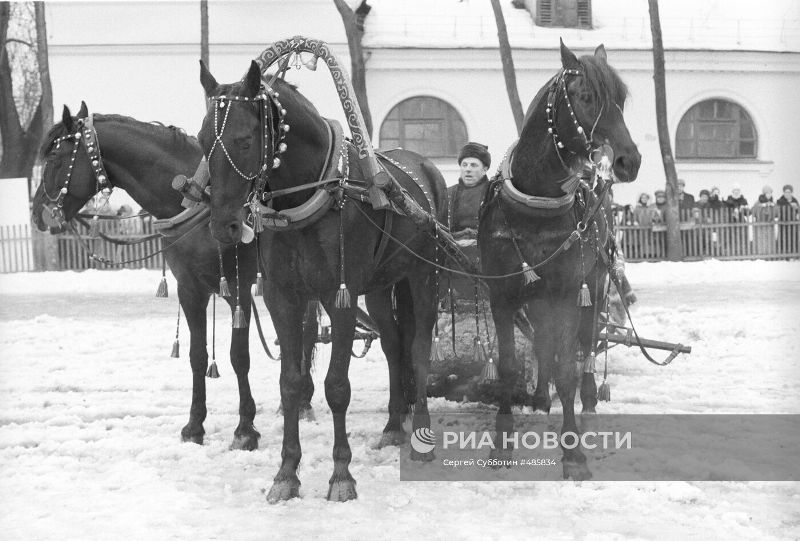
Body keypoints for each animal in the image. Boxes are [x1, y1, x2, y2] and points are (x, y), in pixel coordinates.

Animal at [31, 103, 268, 450]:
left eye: (56, 158)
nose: (37, 213)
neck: (200, 202)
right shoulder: (190, 290)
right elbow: (197, 356)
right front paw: (194, 426)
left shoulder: (239, 289)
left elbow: (240, 356)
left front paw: (245, 429)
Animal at [195, 61, 444, 500]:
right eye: (202, 140)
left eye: (244, 140)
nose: (224, 226)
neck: (309, 195)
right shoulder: (282, 298)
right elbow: (291, 382)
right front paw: (286, 473)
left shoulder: (338, 297)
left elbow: (337, 386)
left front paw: (341, 473)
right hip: (381, 286)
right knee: (394, 345)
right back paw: (394, 424)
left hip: (422, 276)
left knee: (416, 348)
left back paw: (421, 437)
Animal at [478, 43, 640, 480]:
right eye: (585, 97)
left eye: (620, 100)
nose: (629, 161)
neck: (535, 206)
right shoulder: (502, 294)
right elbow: (510, 365)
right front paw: (502, 441)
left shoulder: (568, 292)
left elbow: (568, 364)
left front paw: (573, 453)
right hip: (536, 295)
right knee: (544, 342)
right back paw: (540, 396)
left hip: (594, 285)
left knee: (586, 344)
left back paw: (588, 400)